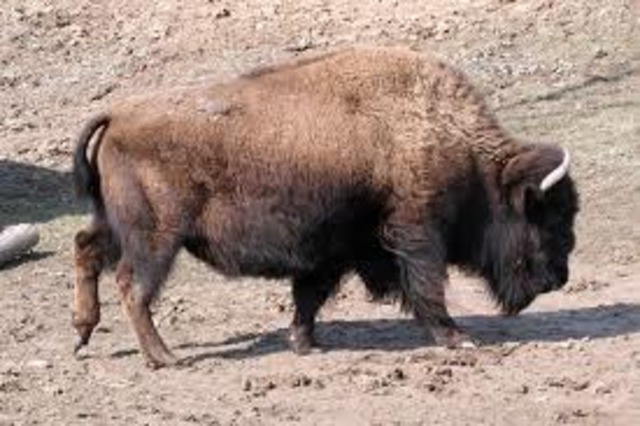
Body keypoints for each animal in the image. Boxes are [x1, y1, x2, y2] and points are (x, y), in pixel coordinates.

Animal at [72, 46, 579, 368]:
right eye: (546, 216)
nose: (559, 277)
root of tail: (118, 114)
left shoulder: (332, 250)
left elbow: (310, 296)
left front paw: (304, 343)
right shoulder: (416, 235)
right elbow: (427, 287)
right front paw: (457, 338)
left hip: (116, 225)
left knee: (86, 248)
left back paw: (84, 333)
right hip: (156, 238)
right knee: (133, 286)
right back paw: (164, 358)